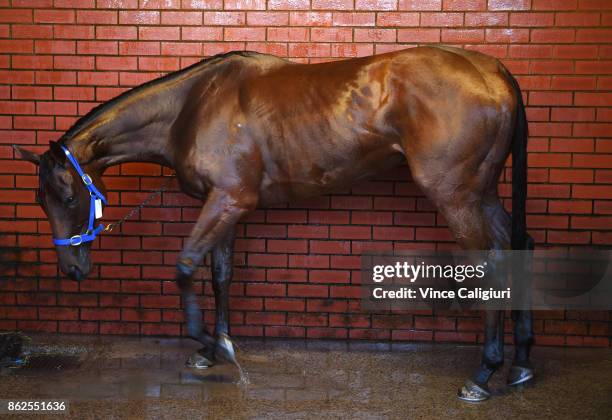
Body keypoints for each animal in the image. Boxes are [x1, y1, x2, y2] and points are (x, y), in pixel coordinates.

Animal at [11, 46, 532, 400]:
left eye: (67, 194)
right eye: (39, 200)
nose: (72, 269)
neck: (192, 106)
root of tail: (493, 71)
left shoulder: (228, 200)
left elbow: (184, 267)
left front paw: (211, 343)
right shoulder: (226, 205)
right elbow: (220, 275)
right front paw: (214, 347)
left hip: (455, 194)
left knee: (488, 265)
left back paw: (483, 374)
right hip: (482, 193)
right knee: (517, 245)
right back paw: (520, 363)